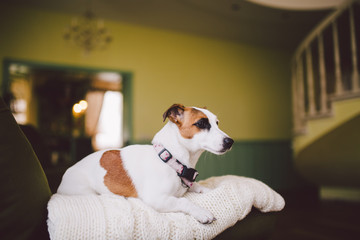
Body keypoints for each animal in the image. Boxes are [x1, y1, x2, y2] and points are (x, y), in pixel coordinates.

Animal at [57, 104, 233, 224]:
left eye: (217, 123)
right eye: (201, 123)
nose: (230, 141)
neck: (170, 159)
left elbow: (196, 186)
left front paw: (206, 189)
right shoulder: (157, 199)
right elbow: (183, 201)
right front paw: (201, 212)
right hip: (86, 191)